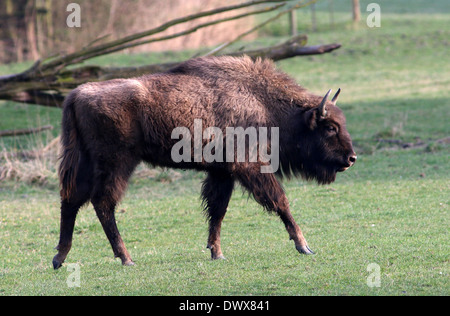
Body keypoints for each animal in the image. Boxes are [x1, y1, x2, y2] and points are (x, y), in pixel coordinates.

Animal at [52, 55, 356, 268]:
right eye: (330, 127)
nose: (351, 158)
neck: (261, 102)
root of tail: (77, 94)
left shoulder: (222, 172)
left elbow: (217, 210)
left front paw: (216, 253)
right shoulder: (251, 167)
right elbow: (279, 201)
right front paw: (304, 246)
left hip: (86, 161)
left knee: (71, 199)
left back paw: (60, 258)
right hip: (117, 163)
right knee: (102, 202)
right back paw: (126, 258)